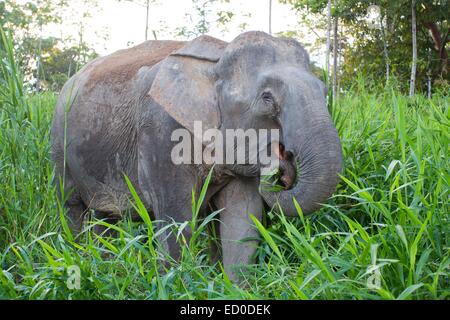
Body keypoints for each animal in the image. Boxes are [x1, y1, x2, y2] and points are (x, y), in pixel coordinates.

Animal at [51, 31, 342, 282]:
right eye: (267, 98)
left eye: (324, 91)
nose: (283, 163)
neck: (219, 57)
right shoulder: (160, 133)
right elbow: (176, 219)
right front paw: (175, 282)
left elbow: (242, 218)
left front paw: (233, 288)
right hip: (59, 147)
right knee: (72, 205)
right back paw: (77, 260)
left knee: (105, 217)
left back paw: (105, 268)